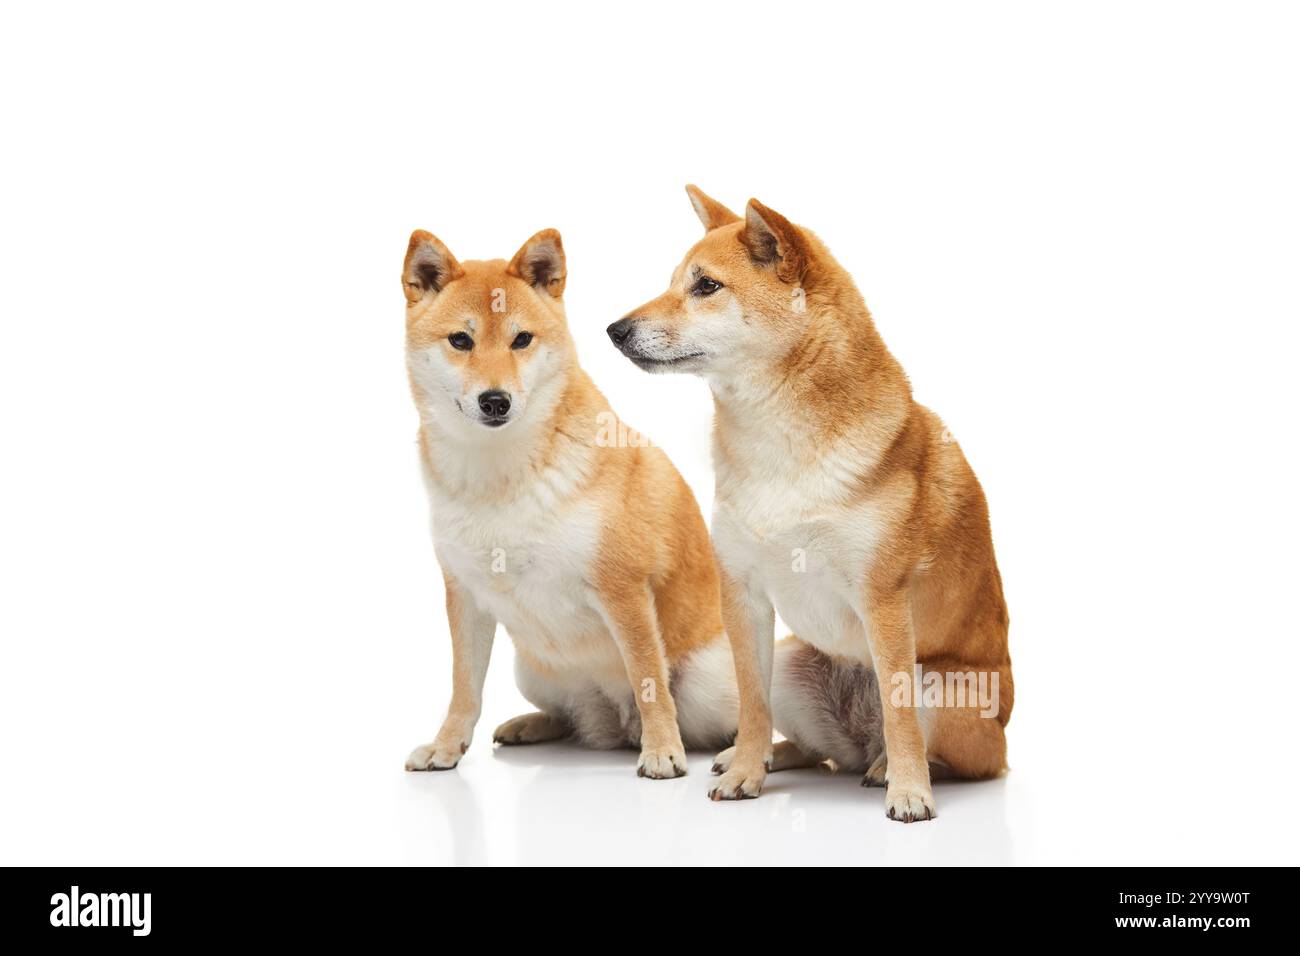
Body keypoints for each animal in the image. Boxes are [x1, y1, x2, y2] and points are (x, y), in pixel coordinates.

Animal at [400, 230, 738, 780]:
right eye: (460, 341)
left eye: (521, 340)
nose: (495, 401)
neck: (501, 477)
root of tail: (615, 728)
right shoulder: (464, 596)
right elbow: (464, 688)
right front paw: (446, 747)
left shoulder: (622, 587)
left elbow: (648, 679)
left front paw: (663, 750)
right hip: (533, 669)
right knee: (569, 718)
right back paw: (529, 725)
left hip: (711, 679)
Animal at [608, 188, 1013, 822]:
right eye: (672, 282)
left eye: (705, 286)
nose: (615, 329)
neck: (775, 444)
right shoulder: (743, 594)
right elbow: (751, 705)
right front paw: (745, 772)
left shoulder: (883, 598)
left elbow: (900, 717)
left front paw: (910, 792)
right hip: (792, 666)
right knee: (809, 746)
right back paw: (762, 757)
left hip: (945, 690)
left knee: (923, 743)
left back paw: (889, 769)